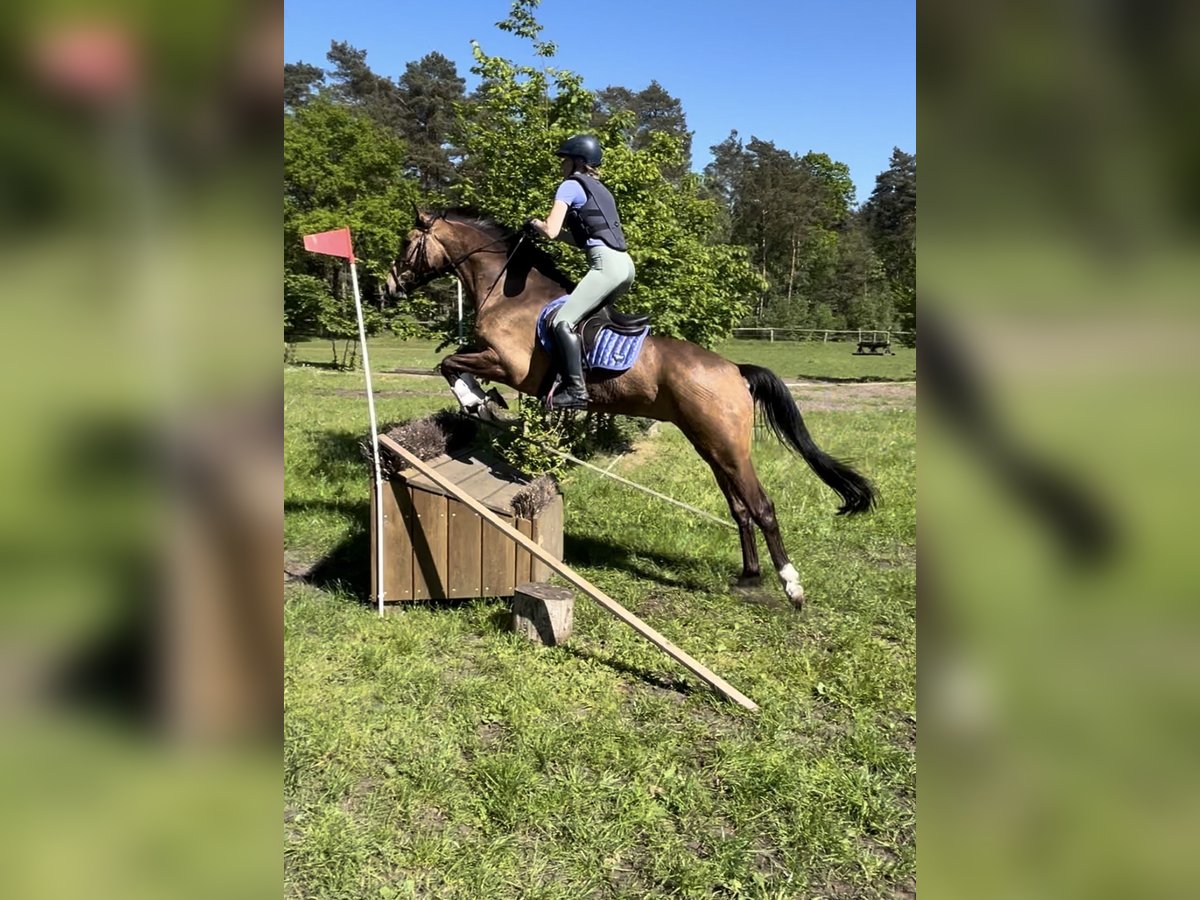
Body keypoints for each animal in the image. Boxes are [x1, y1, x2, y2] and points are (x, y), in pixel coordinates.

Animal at [388, 207, 878, 609]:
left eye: (407, 241)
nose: (388, 287)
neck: (511, 294)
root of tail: (734, 370)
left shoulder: (510, 366)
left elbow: (450, 363)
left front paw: (480, 403)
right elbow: (452, 363)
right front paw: (484, 403)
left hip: (728, 446)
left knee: (762, 506)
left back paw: (791, 586)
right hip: (710, 446)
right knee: (740, 509)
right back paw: (749, 576)